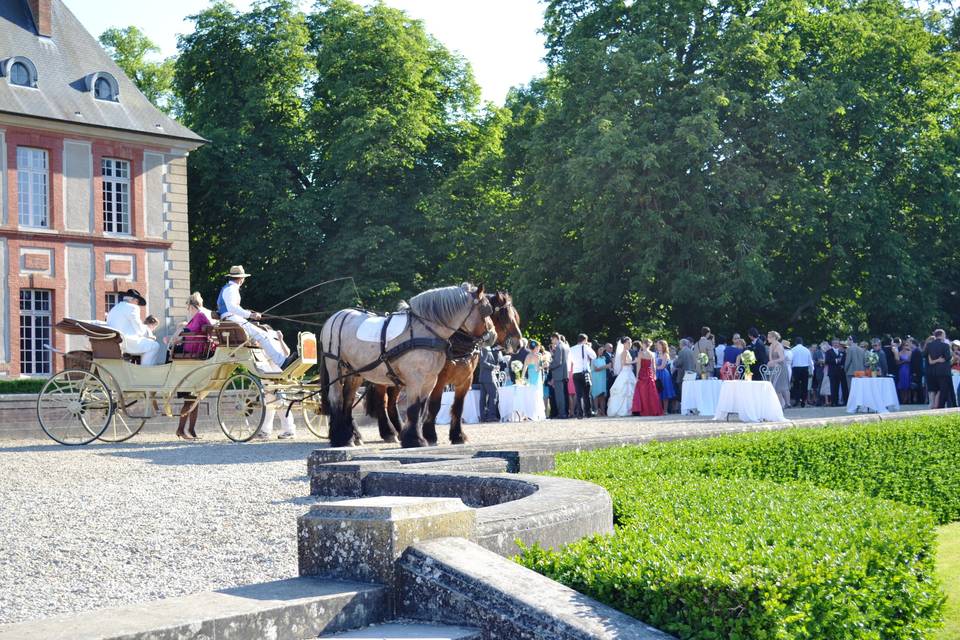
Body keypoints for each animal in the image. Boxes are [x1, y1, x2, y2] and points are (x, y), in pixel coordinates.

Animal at [320, 282, 492, 448]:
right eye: (487, 310)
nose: (492, 336)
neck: (425, 331)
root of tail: (335, 316)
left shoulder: (431, 381)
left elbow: (422, 408)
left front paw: (416, 437)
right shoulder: (416, 379)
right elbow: (414, 408)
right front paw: (415, 440)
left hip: (355, 372)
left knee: (348, 401)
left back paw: (352, 436)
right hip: (335, 367)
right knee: (336, 398)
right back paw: (343, 438)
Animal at [366, 290, 524, 444]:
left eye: (516, 316)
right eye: (504, 317)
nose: (519, 344)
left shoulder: (465, 380)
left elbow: (458, 407)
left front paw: (457, 435)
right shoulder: (438, 379)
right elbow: (434, 406)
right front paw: (430, 434)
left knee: (392, 403)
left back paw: (400, 431)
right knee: (382, 402)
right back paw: (388, 432)